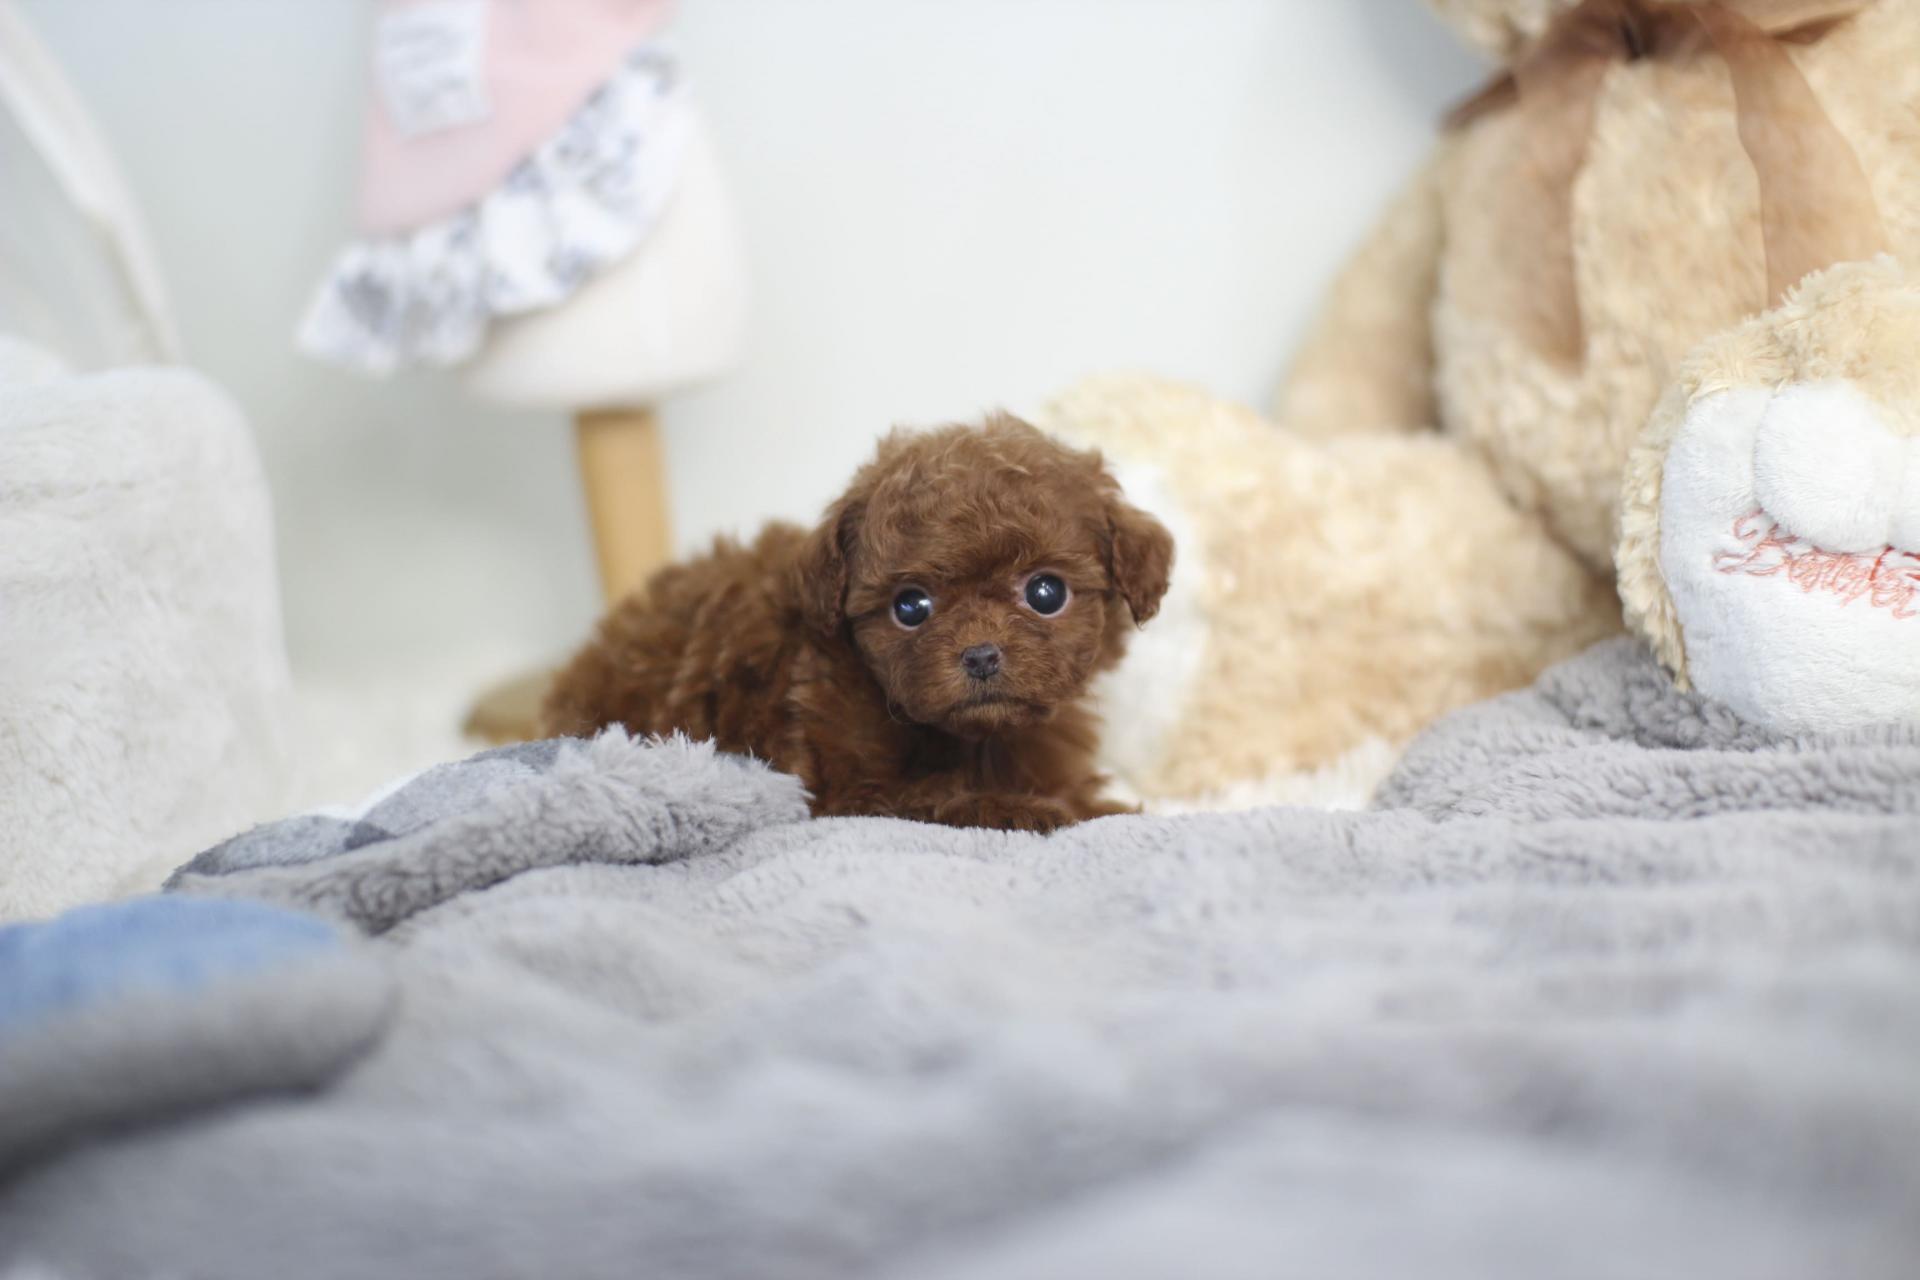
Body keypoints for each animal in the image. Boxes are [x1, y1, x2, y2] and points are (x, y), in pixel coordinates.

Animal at [542, 413, 1174, 831]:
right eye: (910, 607)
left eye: (1046, 593)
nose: (981, 655)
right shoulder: (853, 788)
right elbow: (944, 796)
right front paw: (1033, 812)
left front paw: (1100, 807)